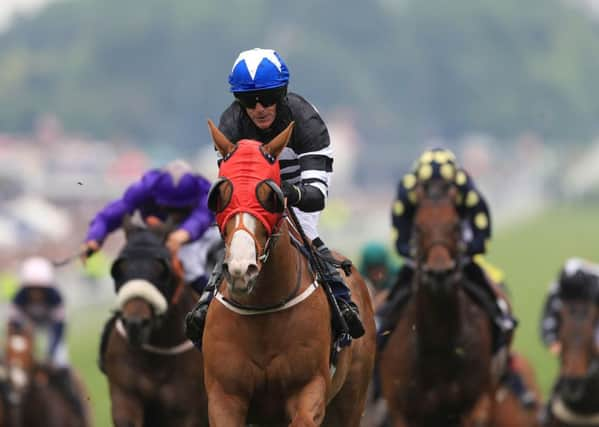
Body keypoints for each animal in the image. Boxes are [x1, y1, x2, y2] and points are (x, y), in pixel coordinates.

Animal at [204, 121, 378, 427]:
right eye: (221, 195)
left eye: (270, 196)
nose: (241, 269)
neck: (263, 308)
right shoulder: (224, 397)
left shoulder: (308, 391)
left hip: (351, 399)